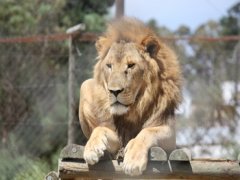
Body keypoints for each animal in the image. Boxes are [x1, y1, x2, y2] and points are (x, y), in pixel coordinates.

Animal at [79, 17, 182, 176]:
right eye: (109, 66)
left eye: (131, 65)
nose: (114, 91)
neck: (134, 108)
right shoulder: (117, 141)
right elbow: (100, 129)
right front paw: (91, 147)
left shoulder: (170, 135)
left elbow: (147, 132)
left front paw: (133, 160)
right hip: (85, 85)